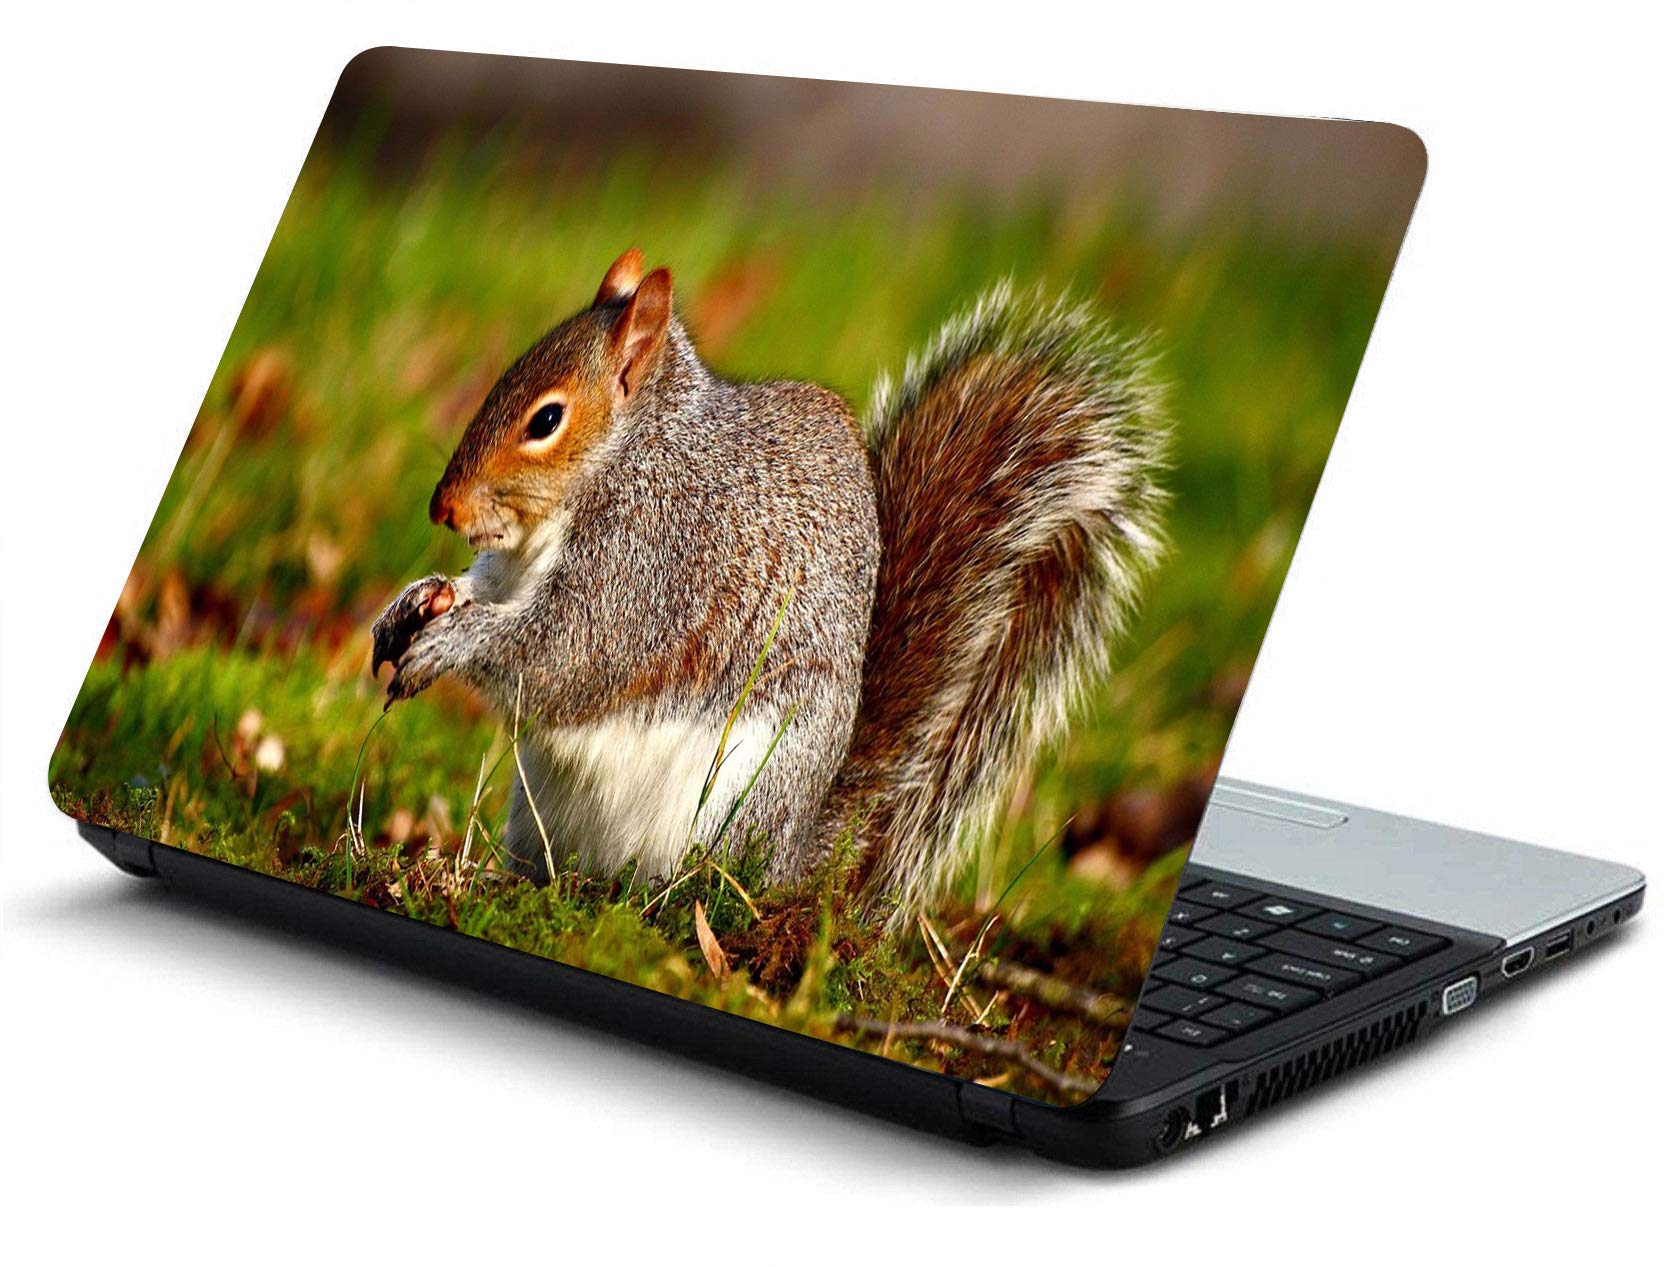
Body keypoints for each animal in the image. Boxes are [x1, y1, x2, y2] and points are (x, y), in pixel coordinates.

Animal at [372, 249, 1168, 916]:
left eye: (546, 419)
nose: (443, 507)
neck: (628, 456)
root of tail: (796, 859)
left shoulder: (655, 556)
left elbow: (569, 653)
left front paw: (453, 641)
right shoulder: (514, 566)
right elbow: (485, 595)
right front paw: (414, 602)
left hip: (732, 795)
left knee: (699, 889)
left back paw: (643, 898)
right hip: (538, 802)